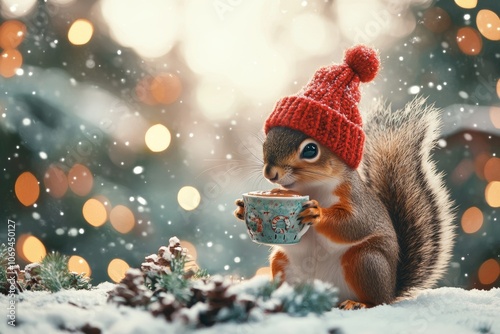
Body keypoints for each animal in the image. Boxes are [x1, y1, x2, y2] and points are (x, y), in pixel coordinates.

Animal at [232, 45, 456, 310]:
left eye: (310, 150)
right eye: (267, 139)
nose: (270, 172)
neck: (312, 187)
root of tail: (391, 287)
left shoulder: (355, 198)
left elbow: (354, 224)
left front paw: (317, 212)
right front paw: (241, 208)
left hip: (365, 261)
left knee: (377, 301)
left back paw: (357, 304)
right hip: (281, 260)